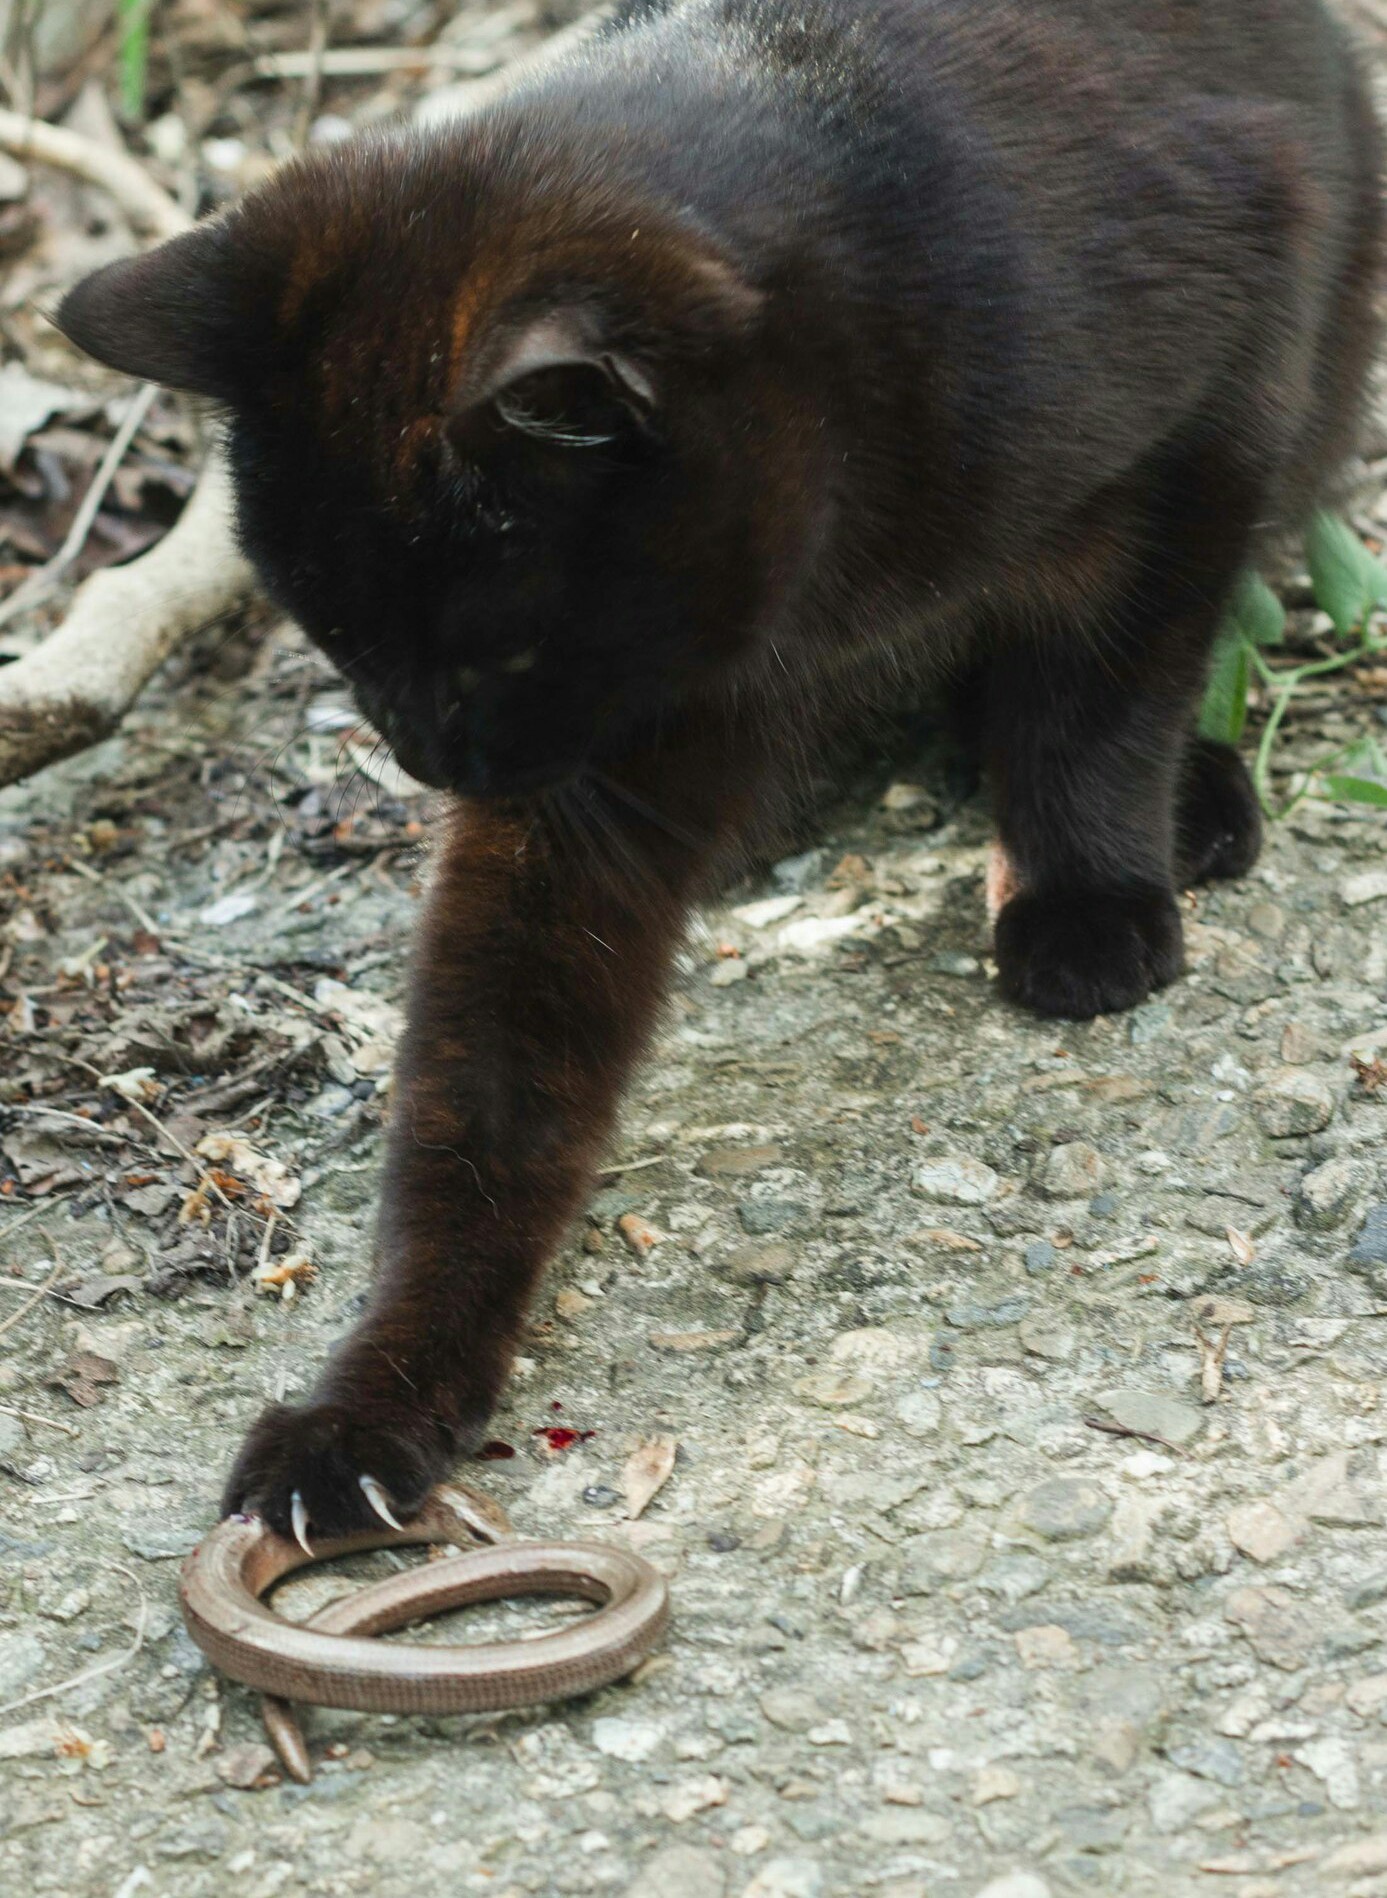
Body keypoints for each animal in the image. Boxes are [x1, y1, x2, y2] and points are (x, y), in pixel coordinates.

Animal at [54, 0, 1381, 1541]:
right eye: (338, 641)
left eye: (492, 653)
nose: (425, 758)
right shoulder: (602, 770)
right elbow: (486, 1078)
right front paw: (375, 1397)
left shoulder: (1209, 406)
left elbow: (1104, 689)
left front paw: (1085, 897)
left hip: (1322, 357)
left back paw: (1193, 803)